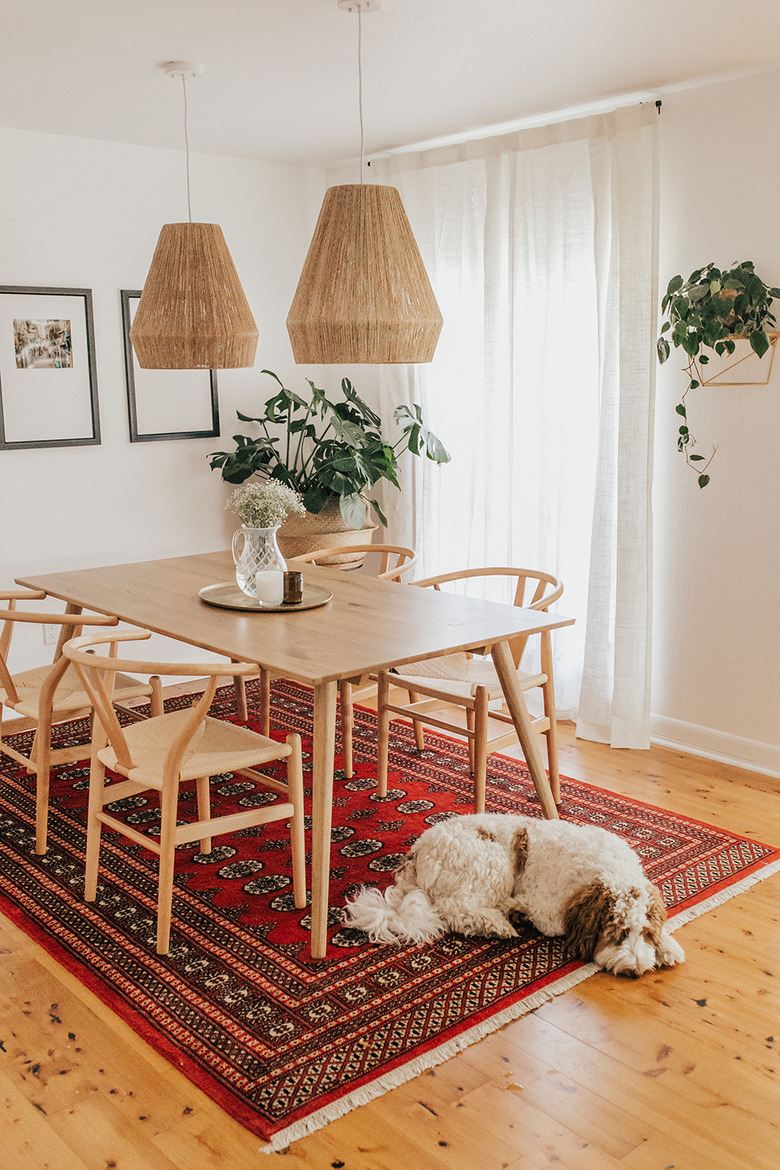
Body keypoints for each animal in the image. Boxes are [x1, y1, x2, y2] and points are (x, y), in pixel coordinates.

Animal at [343, 814, 687, 978]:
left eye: (646, 933)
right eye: (617, 934)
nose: (636, 971)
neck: (602, 870)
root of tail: (417, 852)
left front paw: (667, 946)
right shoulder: (550, 910)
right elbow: (550, 921)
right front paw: (518, 909)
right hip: (492, 862)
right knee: (454, 907)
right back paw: (497, 922)